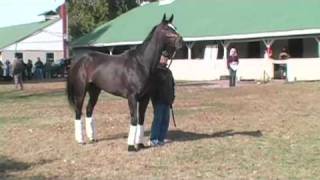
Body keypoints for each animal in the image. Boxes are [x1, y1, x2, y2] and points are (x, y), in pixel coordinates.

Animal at [66, 14, 182, 151]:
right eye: (166, 29)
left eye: (174, 27)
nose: (181, 41)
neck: (141, 63)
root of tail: (79, 60)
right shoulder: (132, 97)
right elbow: (134, 119)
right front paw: (131, 146)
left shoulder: (145, 97)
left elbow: (141, 119)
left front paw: (140, 144)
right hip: (81, 91)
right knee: (78, 111)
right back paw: (80, 140)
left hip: (95, 90)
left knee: (89, 110)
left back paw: (92, 138)